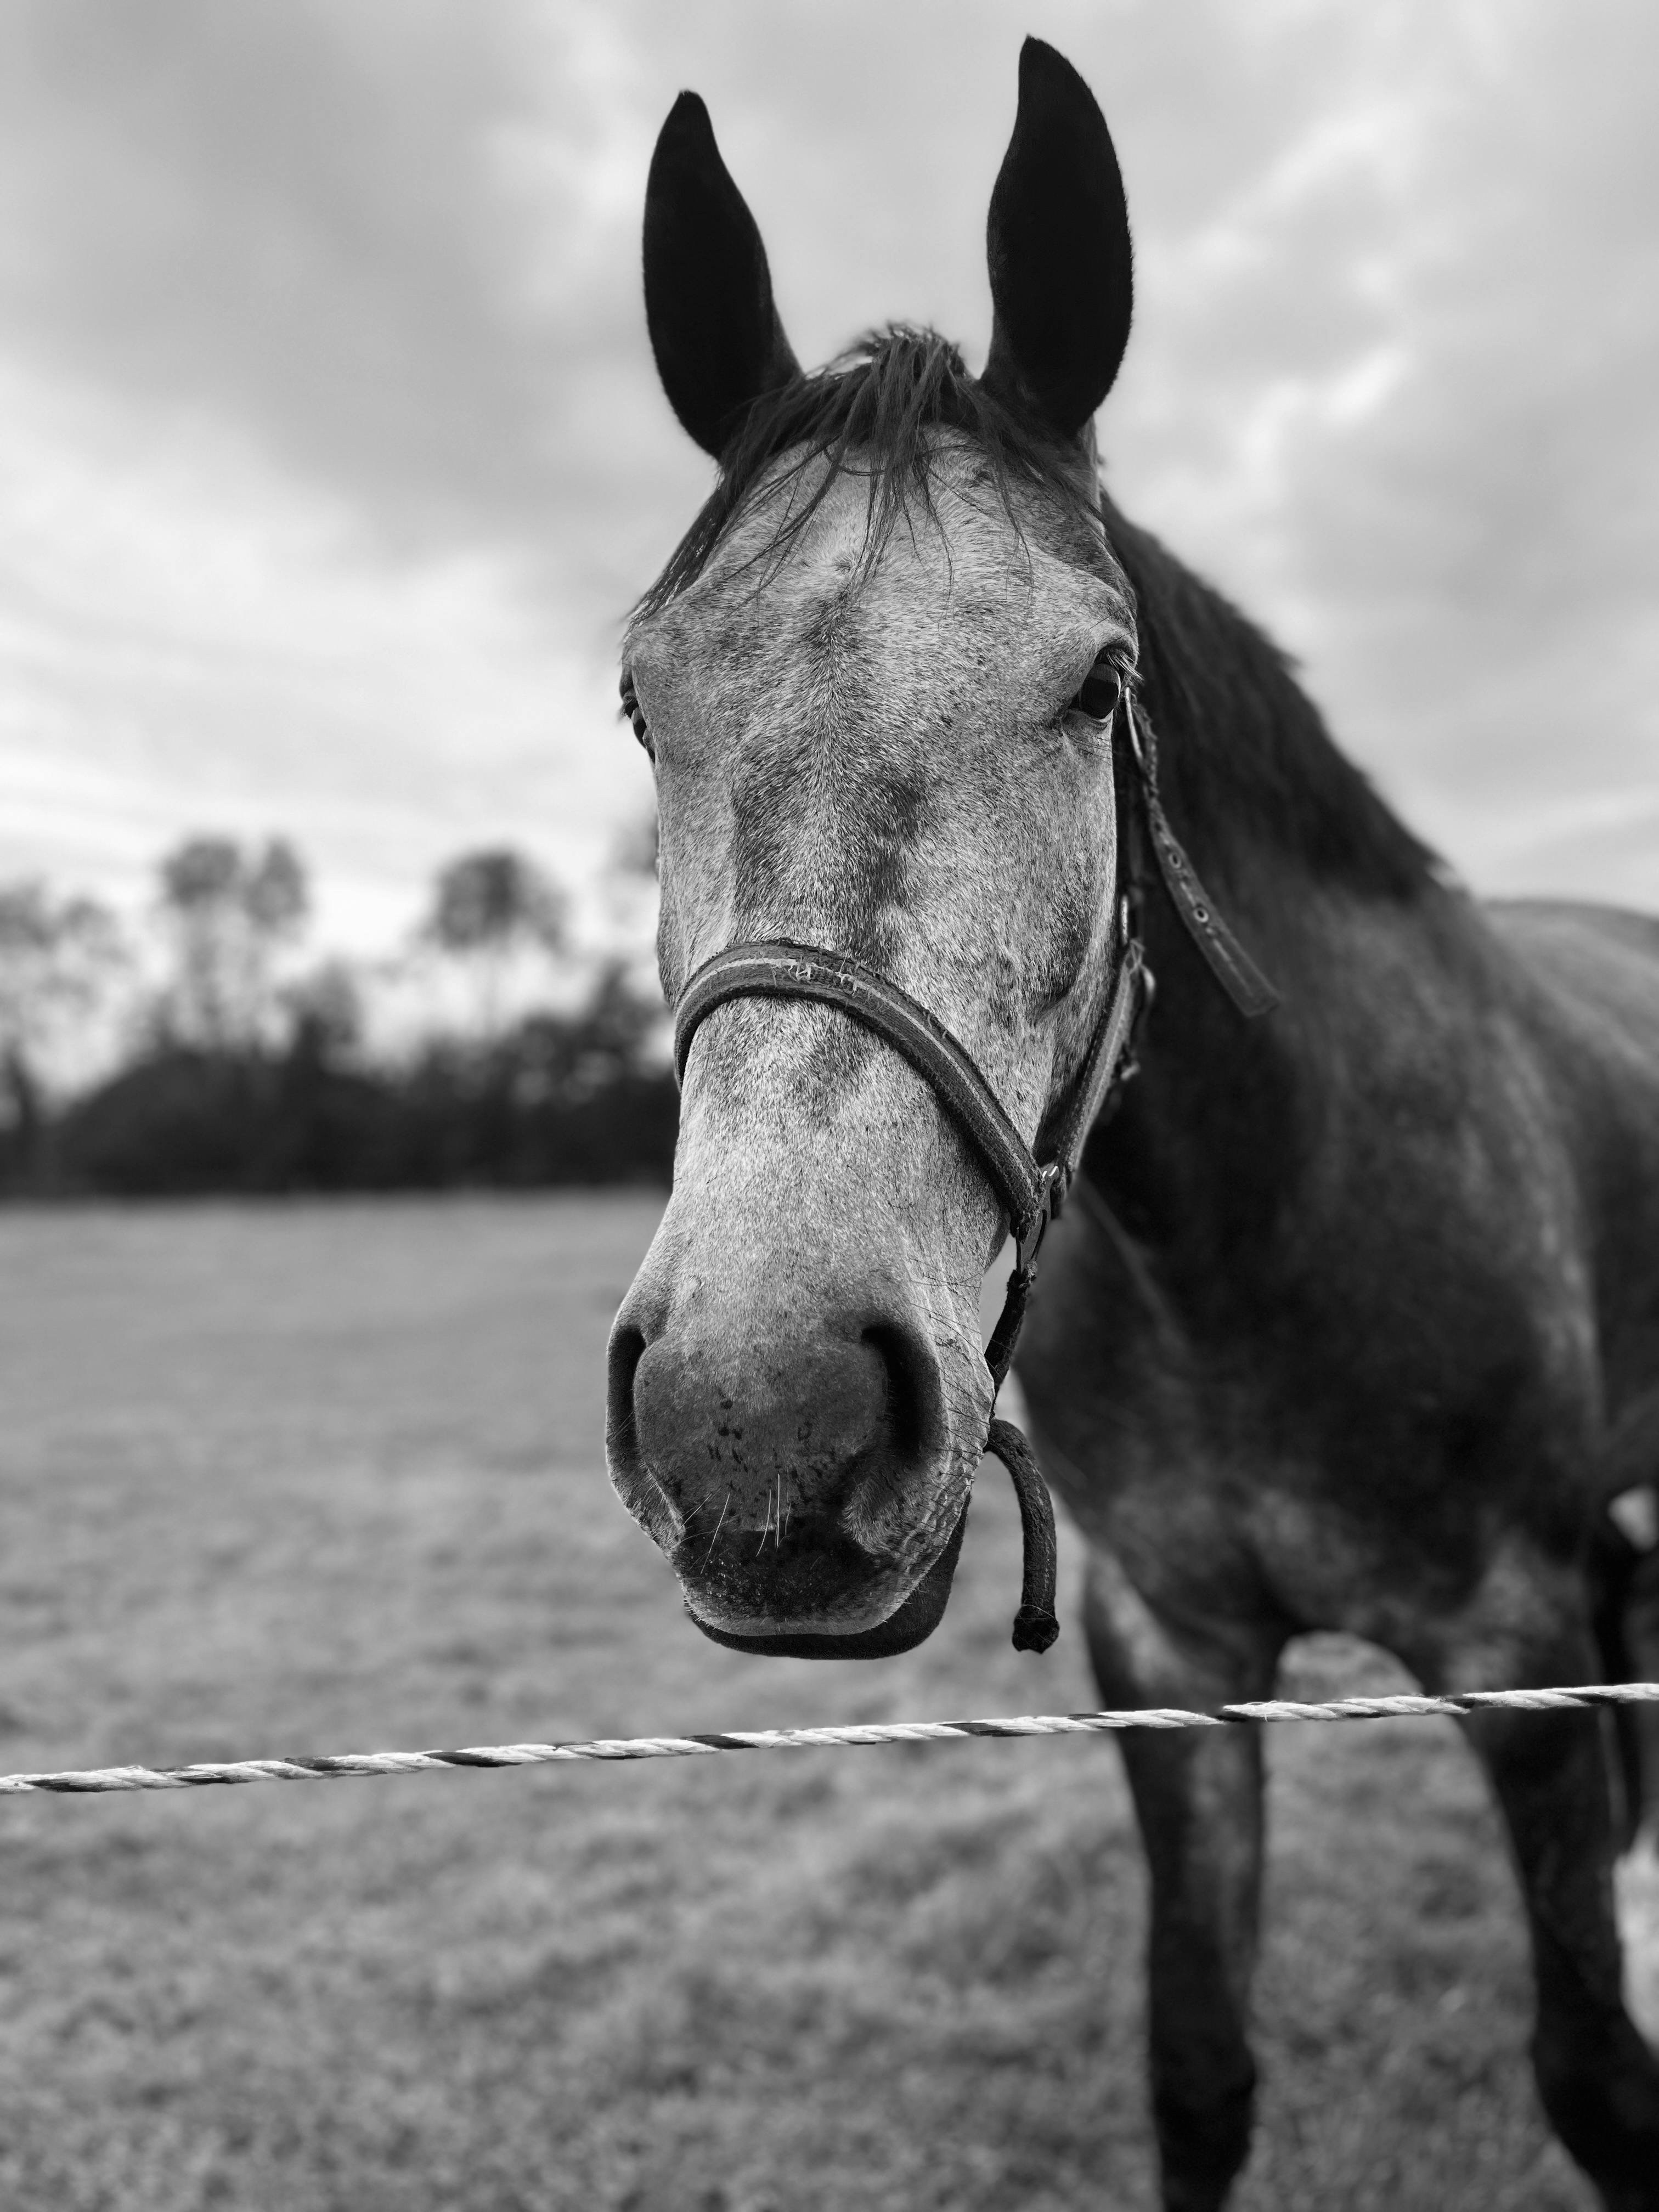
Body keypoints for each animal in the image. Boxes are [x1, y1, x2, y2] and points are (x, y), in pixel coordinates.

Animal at [606, 39, 1659, 2212]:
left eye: (1099, 684)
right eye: (644, 703)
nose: (758, 1425)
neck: (1263, 1240)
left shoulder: (1510, 1649)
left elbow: (1592, 2071)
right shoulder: (1167, 1658)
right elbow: (1196, 2061)